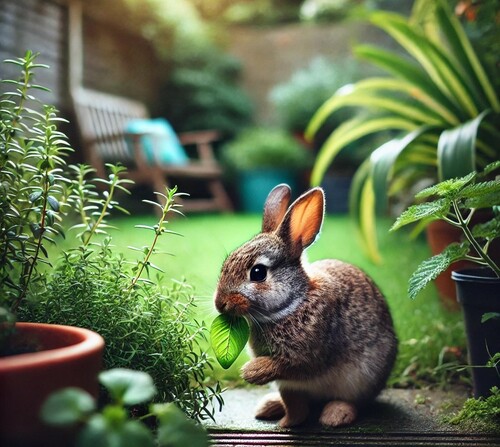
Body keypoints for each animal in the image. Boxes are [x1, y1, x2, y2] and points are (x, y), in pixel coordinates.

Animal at [213, 186, 396, 430]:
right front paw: (286, 423)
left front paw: (251, 372)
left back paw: (335, 415)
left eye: (258, 273)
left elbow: (290, 366)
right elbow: (295, 405)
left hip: (362, 380)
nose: (219, 303)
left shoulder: (310, 358)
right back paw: (268, 406)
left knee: (354, 402)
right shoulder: (288, 385)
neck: (292, 304)